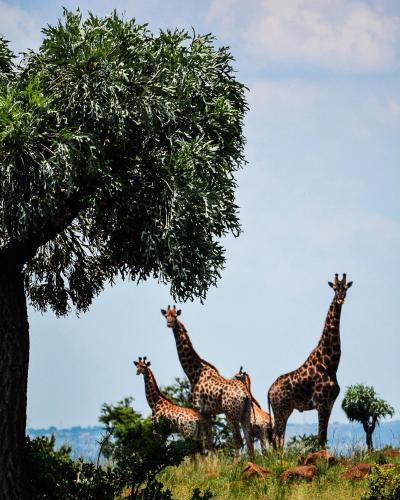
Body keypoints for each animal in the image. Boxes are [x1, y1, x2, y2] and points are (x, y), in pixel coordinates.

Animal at [159, 304, 253, 458]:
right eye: (166, 315)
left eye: (175, 316)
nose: (169, 323)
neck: (194, 373)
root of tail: (245, 393)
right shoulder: (208, 413)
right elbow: (209, 444)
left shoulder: (199, 410)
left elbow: (205, 444)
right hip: (246, 413)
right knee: (249, 440)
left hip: (231, 413)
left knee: (239, 441)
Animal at [268, 274, 352, 450]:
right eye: (335, 288)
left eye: (345, 288)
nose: (341, 298)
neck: (330, 364)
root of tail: (269, 390)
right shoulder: (322, 402)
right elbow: (321, 437)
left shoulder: (330, 403)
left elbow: (324, 436)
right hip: (280, 409)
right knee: (276, 435)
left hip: (286, 409)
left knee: (277, 436)